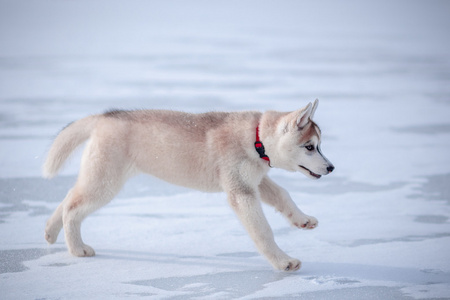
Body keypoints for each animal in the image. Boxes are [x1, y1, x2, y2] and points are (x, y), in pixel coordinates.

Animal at [44, 99, 334, 272]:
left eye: (318, 145)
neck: (256, 138)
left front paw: (303, 219)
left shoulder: (255, 181)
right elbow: (263, 232)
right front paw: (284, 261)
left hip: (99, 177)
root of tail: (104, 117)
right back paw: (77, 248)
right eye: (310, 147)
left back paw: (50, 231)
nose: (331, 168)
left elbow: (283, 195)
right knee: (73, 207)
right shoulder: (240, 191)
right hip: (106, 181)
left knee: (69, 196)